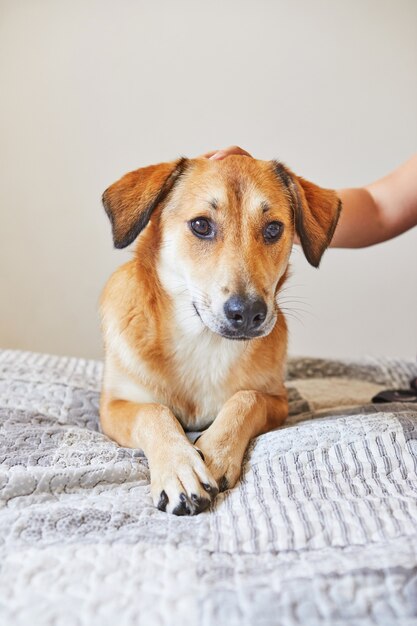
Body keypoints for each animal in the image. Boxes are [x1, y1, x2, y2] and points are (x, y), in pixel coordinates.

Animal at [99, 155, 340, 512]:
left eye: (273, 228)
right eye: (201, 225)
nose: (249, 313)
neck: (203, 341)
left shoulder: (277, 401)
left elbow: (246, 398)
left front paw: (214, 453)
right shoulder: (113, 406)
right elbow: (154, 412)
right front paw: (180, 468)